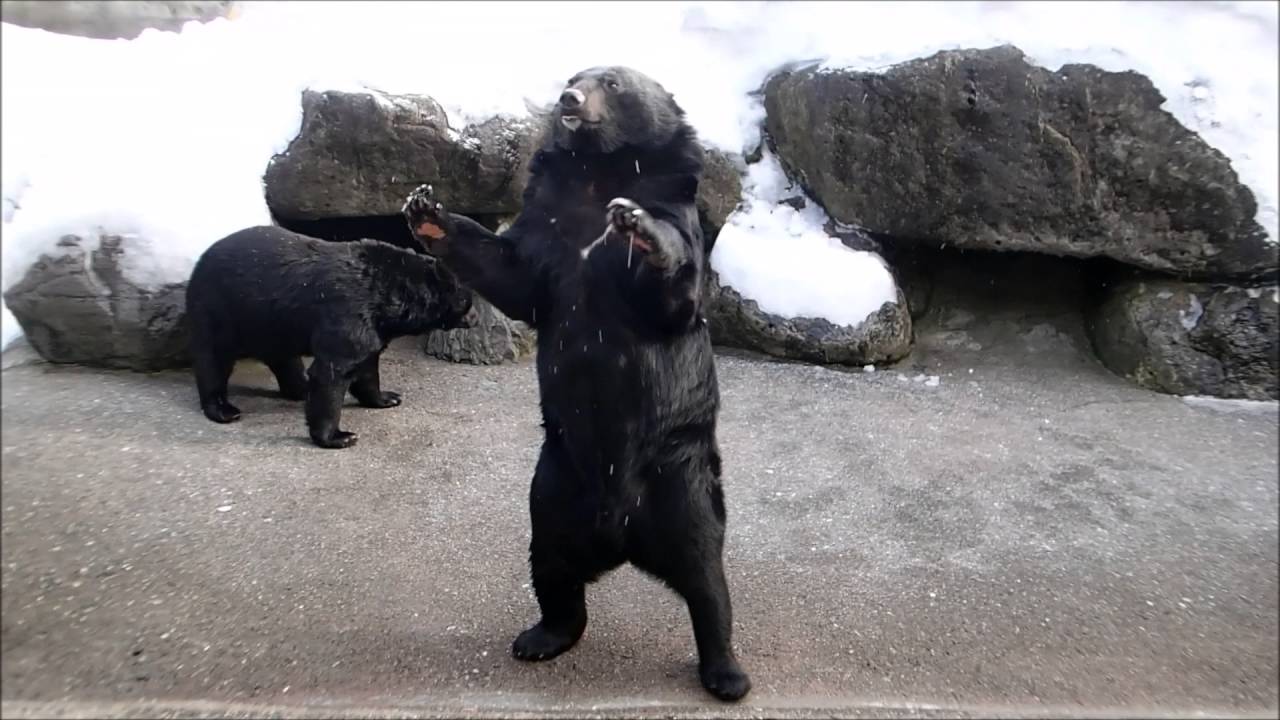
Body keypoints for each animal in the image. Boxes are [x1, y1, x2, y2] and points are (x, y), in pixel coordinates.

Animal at [184, 225, 473, 449]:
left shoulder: (373, 328)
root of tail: (199, 261)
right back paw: (223, 409)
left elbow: (367, 365)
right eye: (468, 302)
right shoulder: (349, 313)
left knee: (283, 358)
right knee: (213, 359)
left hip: (271, 322)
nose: (474, 320)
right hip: (217, 308)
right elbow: (332, 371)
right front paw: (339, 436)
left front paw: (387, 398)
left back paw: (300, 389)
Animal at [402, 66, 751, 701]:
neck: (598, 171)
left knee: (706, 577)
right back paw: (542, 637)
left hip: (679, 479)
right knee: (551, 567)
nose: (569, 98)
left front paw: (636, 228)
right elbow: (512, 272)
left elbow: (673, 290)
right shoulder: (548, 220)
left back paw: (727, 672)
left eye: (611, 82)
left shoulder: (672, 201)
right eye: (571, 76)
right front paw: (426, 207)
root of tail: (621, 537)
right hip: (554, 488)